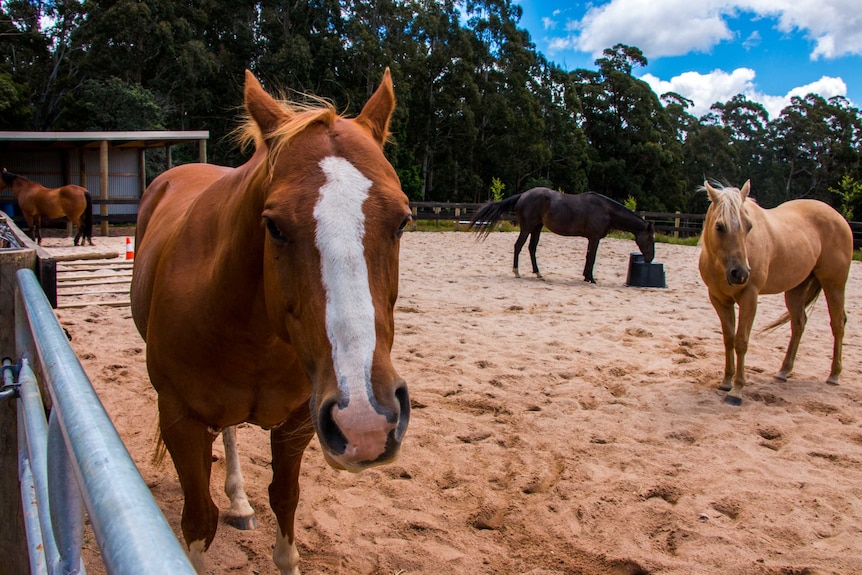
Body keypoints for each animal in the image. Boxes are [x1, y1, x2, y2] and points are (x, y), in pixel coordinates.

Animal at [130, 70, 414, 572]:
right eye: (275, 226)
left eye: (402, 221)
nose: (366, 422)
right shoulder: (180, 419)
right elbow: (198, 521)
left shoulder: (299, 422)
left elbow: (285, 500)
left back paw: (240, 501)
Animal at [470, 188, 660, 284]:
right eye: (650, 238)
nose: (650, 259)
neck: (606, 210)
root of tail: (523, 195)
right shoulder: (594, 238)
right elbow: (591, 257)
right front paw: (590, 278)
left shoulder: (591, 238)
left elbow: (588, 257)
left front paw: (586, 276)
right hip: (528, 227)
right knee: (519, 246)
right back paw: (517, 272)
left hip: (537, 227)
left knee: (532, 248)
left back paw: (538, 274)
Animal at [704, 180, 856, 404]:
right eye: (719, 226)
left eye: (749, 226)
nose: (740, 274)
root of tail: (839, 217)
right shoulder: (719, 299)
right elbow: (729, 339)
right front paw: (726, 382)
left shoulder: (750, 297)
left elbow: (741, 341)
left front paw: (737, 390)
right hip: (795, 289)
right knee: (799, 323)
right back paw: (784, 371)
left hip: (834, 283)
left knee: (838, 323)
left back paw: (834, 375)